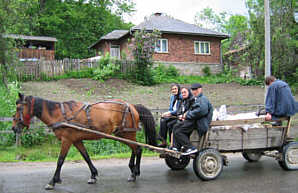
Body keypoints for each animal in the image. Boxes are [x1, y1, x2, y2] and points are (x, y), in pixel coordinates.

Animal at [11, 93, 156, 190]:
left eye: (18, 108)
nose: (13, 128)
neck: (59, 114)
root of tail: (132, 106)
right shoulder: (76, 141)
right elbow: (86, 157)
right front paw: (93, 175)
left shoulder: (66, 140)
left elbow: (60, 161)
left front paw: (53, 181)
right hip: (122, 134)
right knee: (135, 149)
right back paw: (133, 171)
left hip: (126, 133)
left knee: (137, 149)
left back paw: (135, 172)